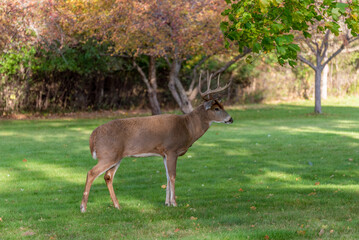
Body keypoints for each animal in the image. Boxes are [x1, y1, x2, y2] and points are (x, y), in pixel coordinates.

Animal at [80, 72, 235, 212]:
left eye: (222, 106)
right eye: (216, 108)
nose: (231, 119)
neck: (187, 127)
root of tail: (93, 136)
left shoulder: (164, 154)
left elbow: (166, 176)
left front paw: (167, 203)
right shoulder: (172, 149)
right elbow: (172, 176)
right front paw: (174, 203)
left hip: (116, 157)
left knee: (108, 177)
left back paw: (117, 206)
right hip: (108, 155)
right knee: (91, 173)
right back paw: (83, 208)